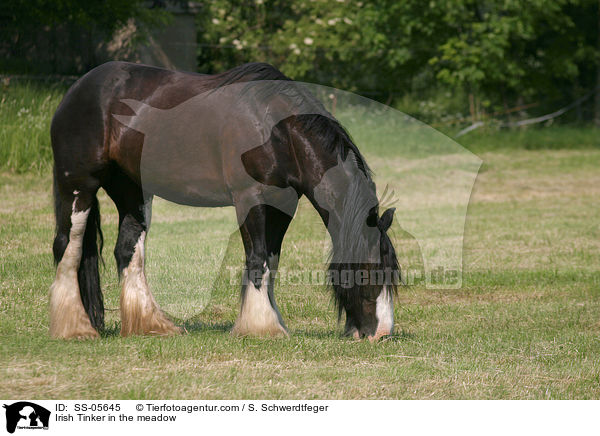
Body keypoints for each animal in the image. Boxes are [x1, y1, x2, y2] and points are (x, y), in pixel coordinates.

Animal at [49, 61, 398, 340]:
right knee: (68, 245)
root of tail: (78, 89)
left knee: (127, 249)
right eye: (369, 270)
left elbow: (271, 260)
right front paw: (261, 328)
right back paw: (75, 328)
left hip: (131, 190)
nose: (381, 333)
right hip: (78, 186)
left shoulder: (282, 205)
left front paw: (272, 322)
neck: (276, 130)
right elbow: (257, 258)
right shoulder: (249, 198)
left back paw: (149, 325)